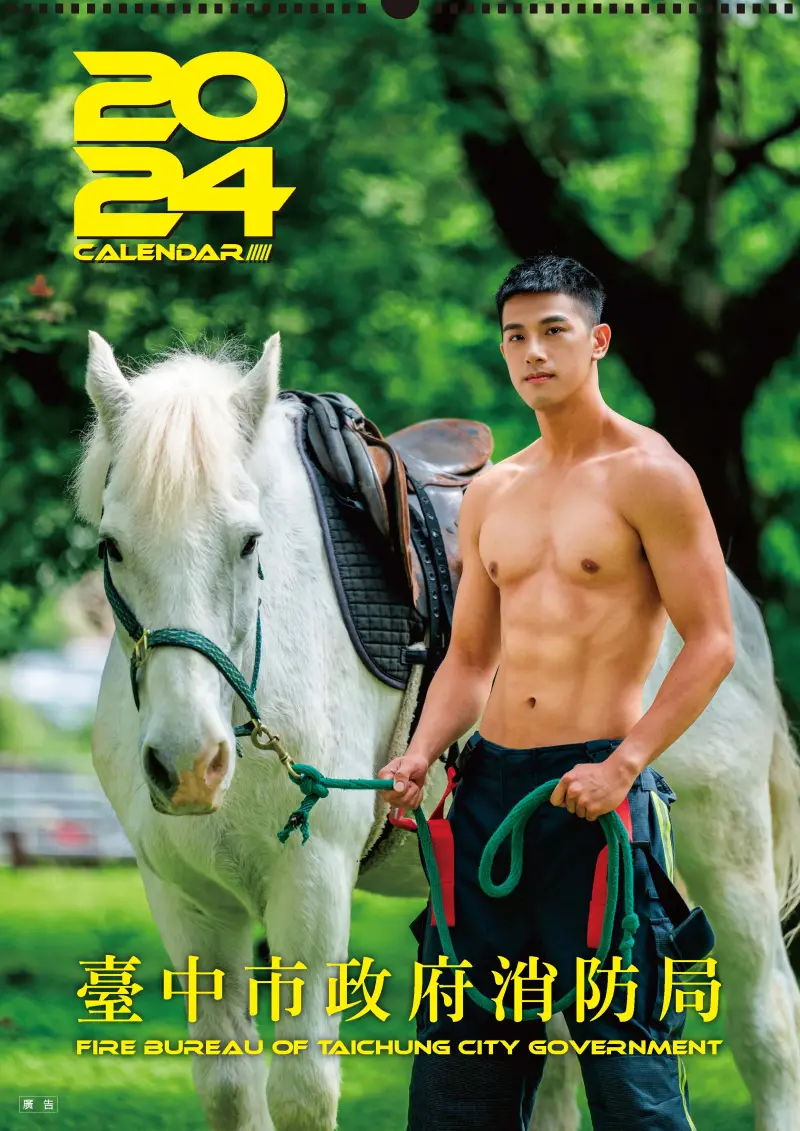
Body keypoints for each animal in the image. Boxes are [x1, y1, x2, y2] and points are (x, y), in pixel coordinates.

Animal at [73, 331, 800, 1131]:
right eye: (111, 546)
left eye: (248, 542)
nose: (188, 765)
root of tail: (728, 597)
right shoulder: (186, 899)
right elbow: (230, 1085)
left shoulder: (311, 884)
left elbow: (303, 1089)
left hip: (724, 843)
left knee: (766, 1021)